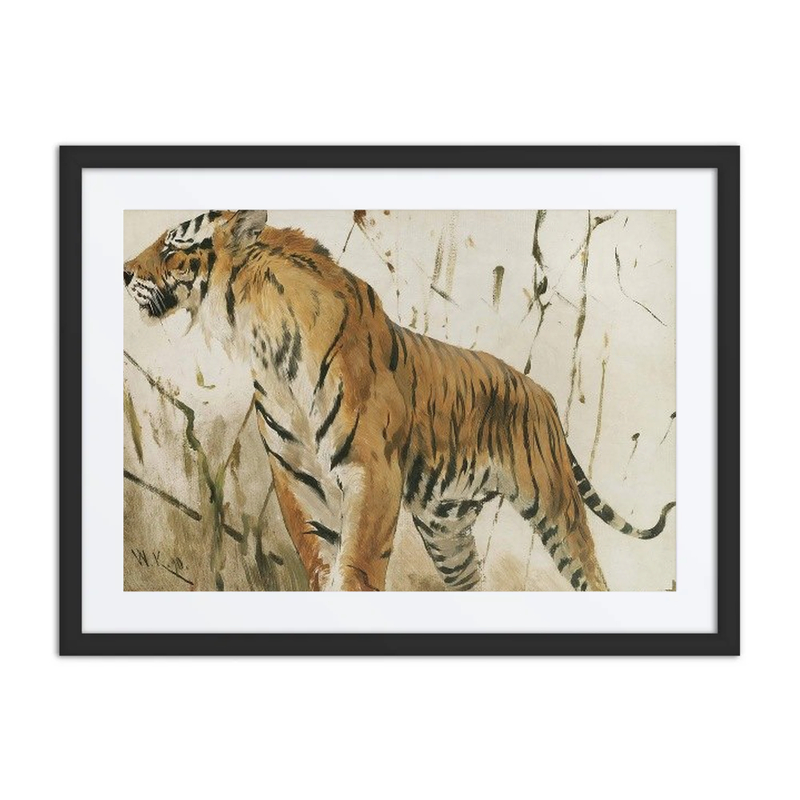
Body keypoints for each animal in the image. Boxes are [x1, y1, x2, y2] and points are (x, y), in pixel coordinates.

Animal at [124, 210, 675, 591]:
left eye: (172, 247)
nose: (125, 271)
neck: (265, 344)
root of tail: (543, 394)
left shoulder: (371, 473)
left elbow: (357, 567)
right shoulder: (296, 477)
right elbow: (321, 560)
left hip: (555, 506)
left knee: (592, 575)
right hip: (447, 529)